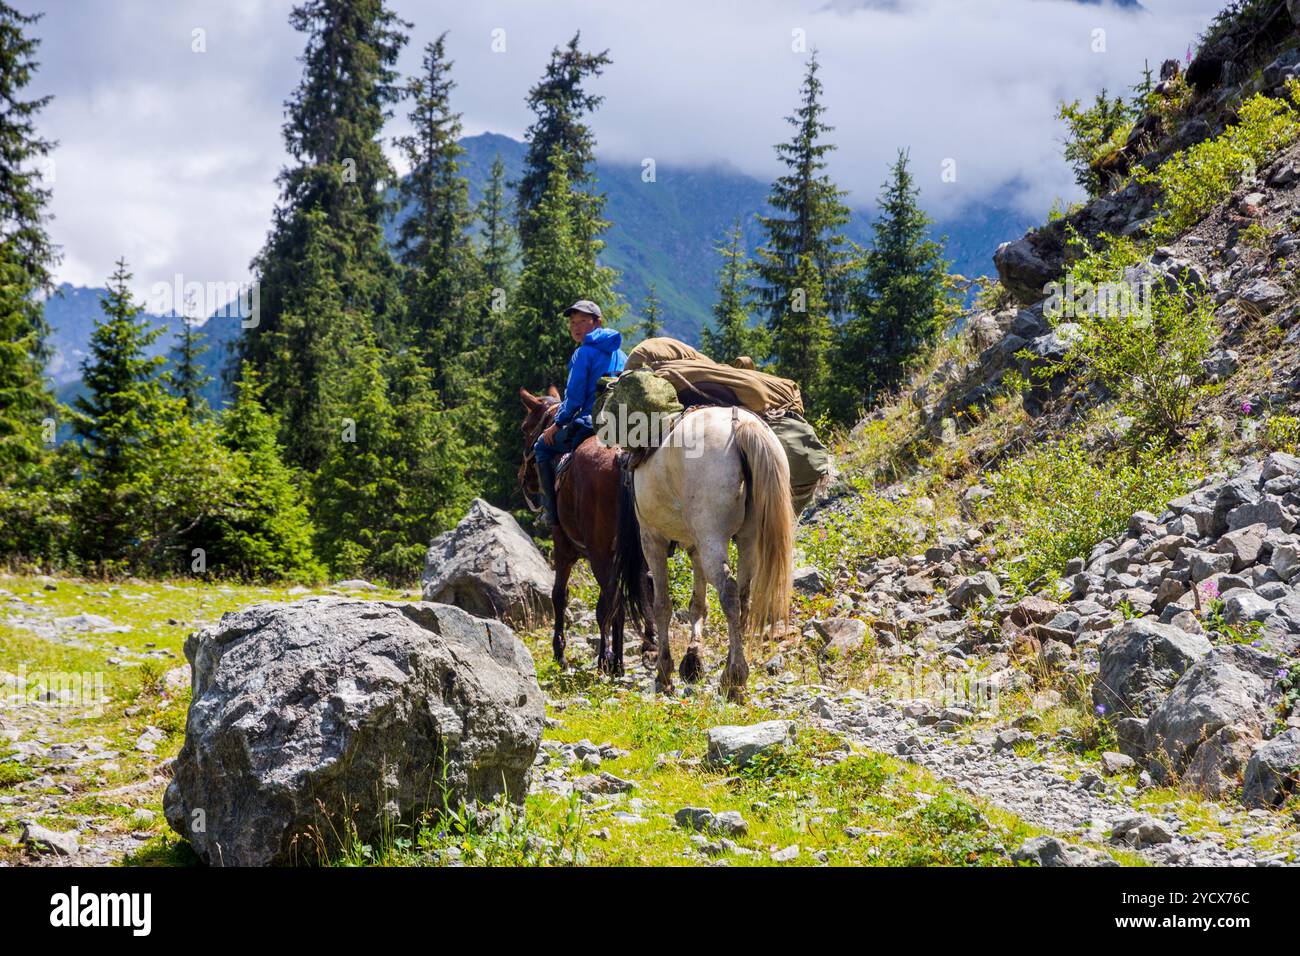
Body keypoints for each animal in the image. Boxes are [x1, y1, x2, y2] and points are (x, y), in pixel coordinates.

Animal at [517, 387, 655, 671]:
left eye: (525, 428)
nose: (523, 477)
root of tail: (622, 457)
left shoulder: (563, 547)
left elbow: (560, 595)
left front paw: (559, 652)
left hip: (600, 553)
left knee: (609, 603)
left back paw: (605, 659)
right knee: (646, 589)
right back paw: (645, 650)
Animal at [611, 405, 790, 702]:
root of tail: (739, 426)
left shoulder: (652, 539)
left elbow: (662, 605)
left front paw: (665, 672)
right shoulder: (694, 546)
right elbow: (698, 604)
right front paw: (693, 660)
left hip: (710, 538)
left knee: (728, 592)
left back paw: (734, 676)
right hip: (746, 538)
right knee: (743, 596)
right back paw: (731, 672)